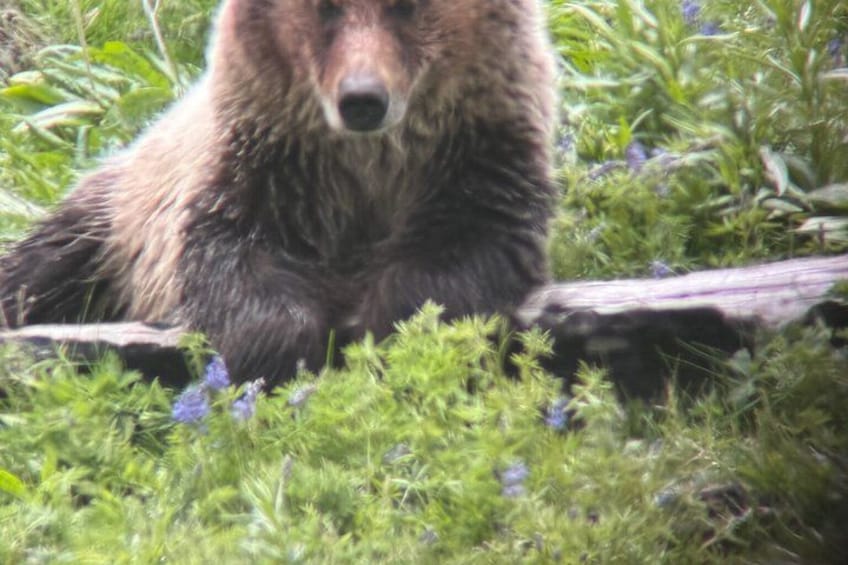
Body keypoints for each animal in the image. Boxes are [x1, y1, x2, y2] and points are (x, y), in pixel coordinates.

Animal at [0, 0, 558, 387]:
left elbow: (462, 251)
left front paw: (397, 329)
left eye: (407, 5)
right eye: (325, 7)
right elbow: (234, 259)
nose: (362, 99)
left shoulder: (478, 159)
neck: (367, 165)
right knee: (41, 269)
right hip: (111, 222)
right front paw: (277, 354)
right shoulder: (262, 168)